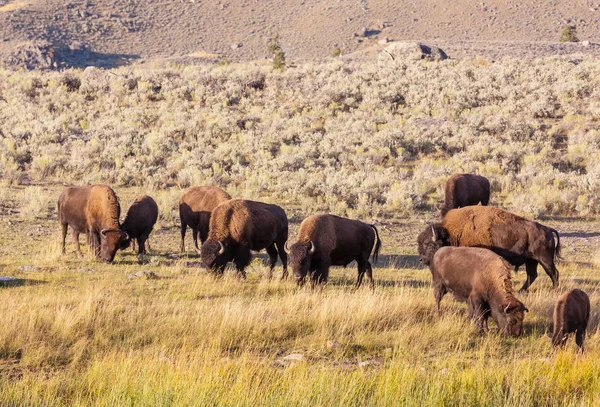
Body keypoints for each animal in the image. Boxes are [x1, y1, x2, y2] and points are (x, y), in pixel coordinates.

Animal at [420, 209, 560, 292]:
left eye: (429, 245)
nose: (422, 260)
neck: (453, 234)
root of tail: (548, 229)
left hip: (544, 259)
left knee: (553, 273)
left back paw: (554, 289)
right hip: (531, 260)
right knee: (532, 275)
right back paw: (521, 291)